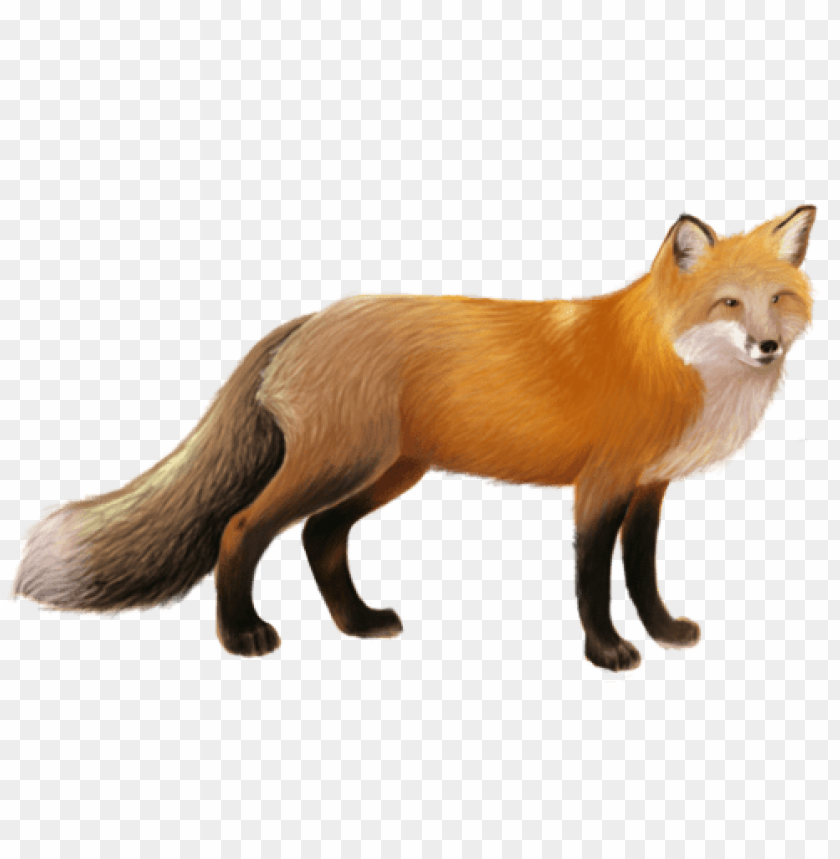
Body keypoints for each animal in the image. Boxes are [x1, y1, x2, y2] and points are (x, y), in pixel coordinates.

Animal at [13, 206, 816, 671]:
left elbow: (642, 574)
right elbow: (592, 580)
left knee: (320, 536)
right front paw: (608, 650)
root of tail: (309, 319)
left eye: (778, 298)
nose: (768, 345)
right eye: (728, 303)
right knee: (241, 529)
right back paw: (241, 635)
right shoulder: (602, 485)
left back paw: (358, 622)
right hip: (342, 464)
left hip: (388, 472)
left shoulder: (649, 486)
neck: (671, 364)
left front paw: (664, 632)